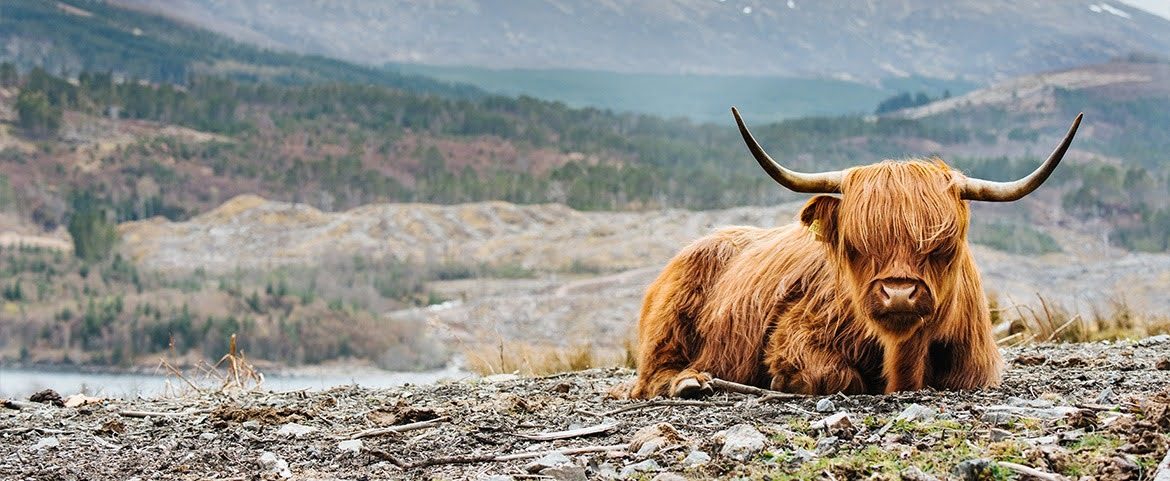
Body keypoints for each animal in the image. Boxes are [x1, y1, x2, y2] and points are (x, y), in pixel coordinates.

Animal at [629, 108, 1082, 398]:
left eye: (943, 244)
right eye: (855, 245)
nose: (899, 294)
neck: (904, 358)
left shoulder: (976, 368)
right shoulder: (794, 335)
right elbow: (838, 377)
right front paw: (784, 383)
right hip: (669, 322)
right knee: (651, 374)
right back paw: (690, 382)